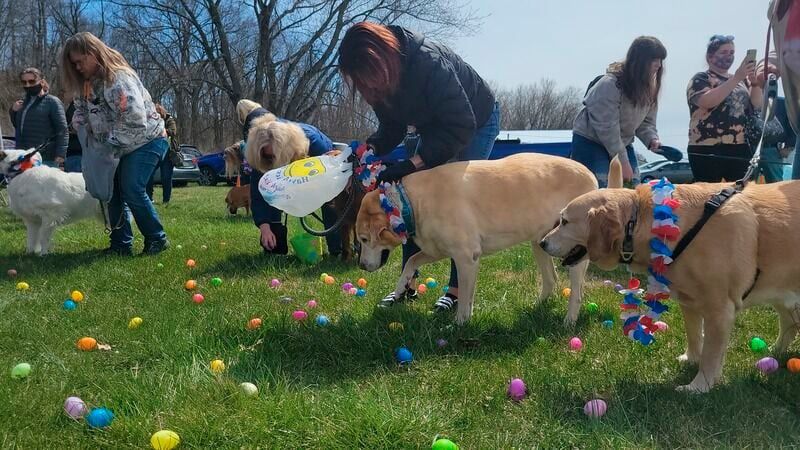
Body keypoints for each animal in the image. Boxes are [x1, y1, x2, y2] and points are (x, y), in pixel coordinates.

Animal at [356, 153, 600, 326]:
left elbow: (464, 296)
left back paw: (569, 322)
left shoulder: (466, 257)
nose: (361, 266)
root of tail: (590, 173)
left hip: (574, 253)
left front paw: (459, 324)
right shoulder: (438, 250)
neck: (411, 202)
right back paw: (536, 307)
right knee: (551, 280)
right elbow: (411, 261)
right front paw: (400, 288)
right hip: (541, 243)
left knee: (577, 293)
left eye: (365, 239)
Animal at [536, 163, 800, 392]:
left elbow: (711, 354)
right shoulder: (688, 301)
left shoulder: (719, 310)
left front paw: (699, 386)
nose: (542, 242)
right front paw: (690, 359)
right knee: (789, 322)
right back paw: (775, 351)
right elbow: (694, 336)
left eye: (564, 221)